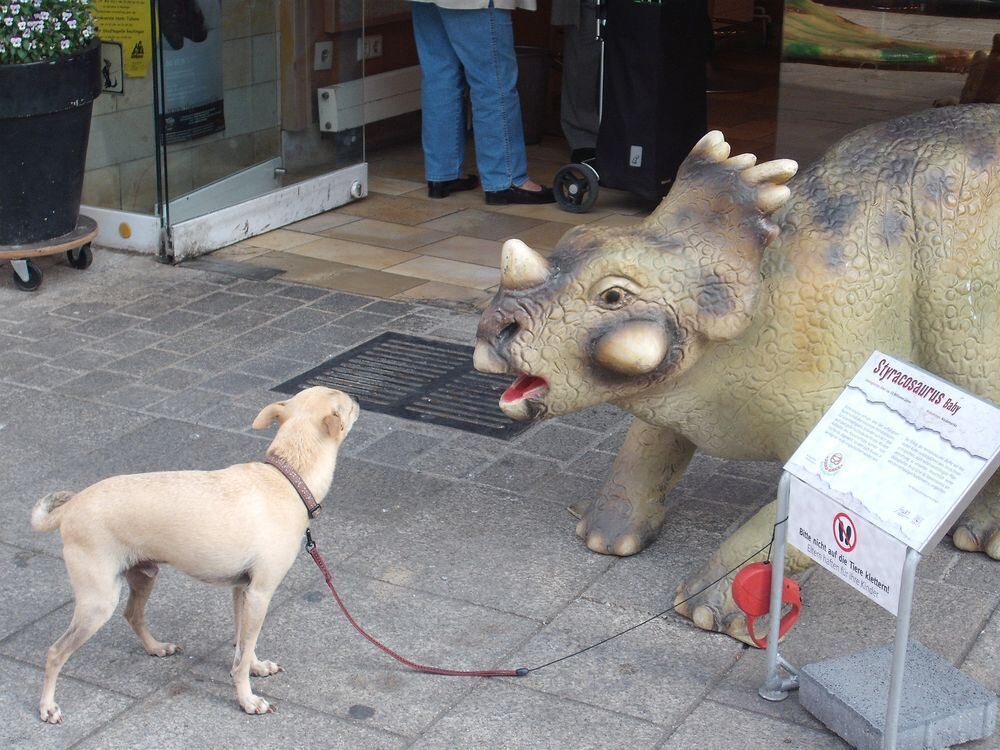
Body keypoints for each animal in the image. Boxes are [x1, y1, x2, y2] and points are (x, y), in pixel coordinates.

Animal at [29, 388, 360, 724]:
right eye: (347, 404)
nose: (358, 399)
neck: (288, 476)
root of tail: (70, 508)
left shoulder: (242, 591)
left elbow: (244, 643)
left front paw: (256, 667)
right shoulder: (260, 594)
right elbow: (242, 655)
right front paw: (247, 699)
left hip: (143, 576)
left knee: (132, 614)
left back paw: (156, 648)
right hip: (98, 603)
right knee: (55, 652)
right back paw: (47, 706)